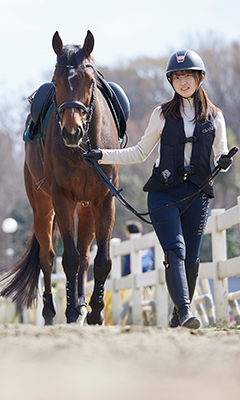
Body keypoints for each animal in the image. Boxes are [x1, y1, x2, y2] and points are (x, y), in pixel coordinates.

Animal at [0, 31, 119, 324]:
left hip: (86, 207)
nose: (72, 132)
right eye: (55, 81)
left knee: (86, 255)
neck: (84, 149)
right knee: (48, 257)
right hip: (43, 206)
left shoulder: (105, 199)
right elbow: (69, 259)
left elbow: (101, 261)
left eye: (90, 81)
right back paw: (51, 311)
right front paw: (70, 310)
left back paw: (81, 304)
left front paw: (94, 311)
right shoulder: (61, 198)